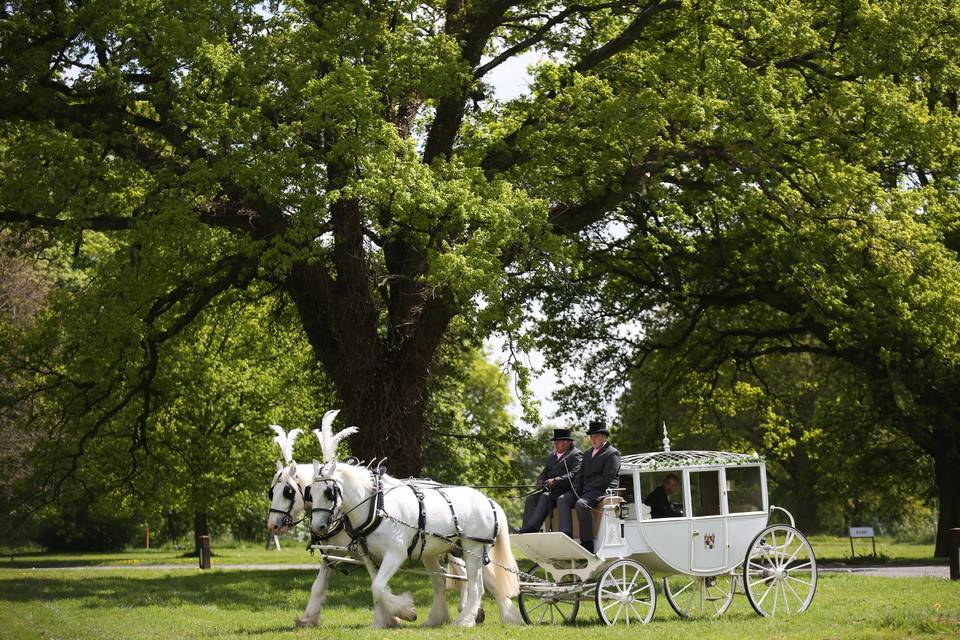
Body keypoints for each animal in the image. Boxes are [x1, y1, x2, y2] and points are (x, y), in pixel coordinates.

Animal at [310, 448, 520, 628]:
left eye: (328, 492)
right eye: (310, 492)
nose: (317, 527)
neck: (377, 506)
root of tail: (488, 500)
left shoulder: (395, 554)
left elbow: (378, 586)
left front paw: (406, 612)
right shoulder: (368, 556)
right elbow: (376, 587)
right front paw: (382, 621)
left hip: (473, 549)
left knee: (476, 587)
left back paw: (465, 620)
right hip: (443, 552)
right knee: (456, 584)